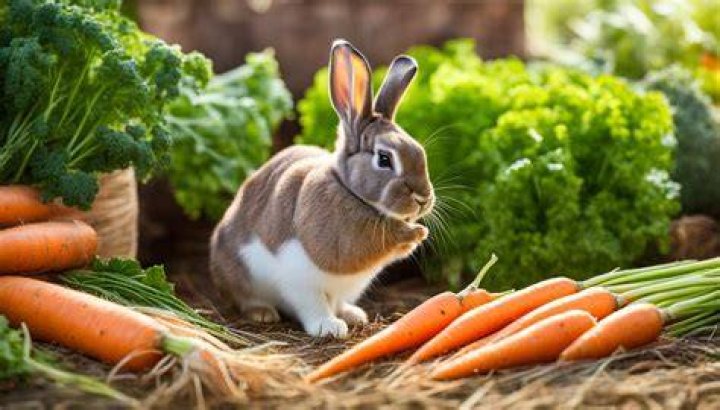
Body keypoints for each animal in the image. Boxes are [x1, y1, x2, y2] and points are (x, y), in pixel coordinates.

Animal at [209, 39, 434, 338]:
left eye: (419, 151)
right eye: (384, 159)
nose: (424, 199)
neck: (349, 191)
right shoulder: (307, 277)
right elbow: (315, 304)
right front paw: (329, 327)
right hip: (242, 273)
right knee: (247, 298)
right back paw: (263, 313)